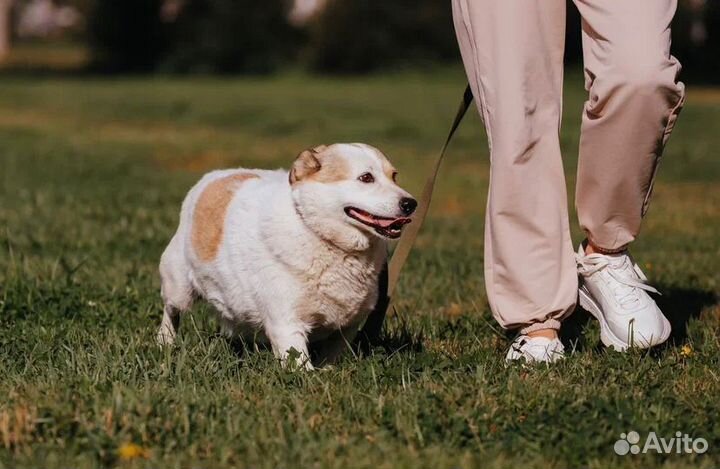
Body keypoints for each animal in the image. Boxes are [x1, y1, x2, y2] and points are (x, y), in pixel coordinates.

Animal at [158, 141, 416, 368]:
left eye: (394, 176)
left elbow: (331, 357)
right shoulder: (287, 324)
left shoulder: (347, 327)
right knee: (171, 312)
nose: (410, 204)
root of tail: (214, 176)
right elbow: (302, 370)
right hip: (179, 287)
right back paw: (165, 342)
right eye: (366, 178)